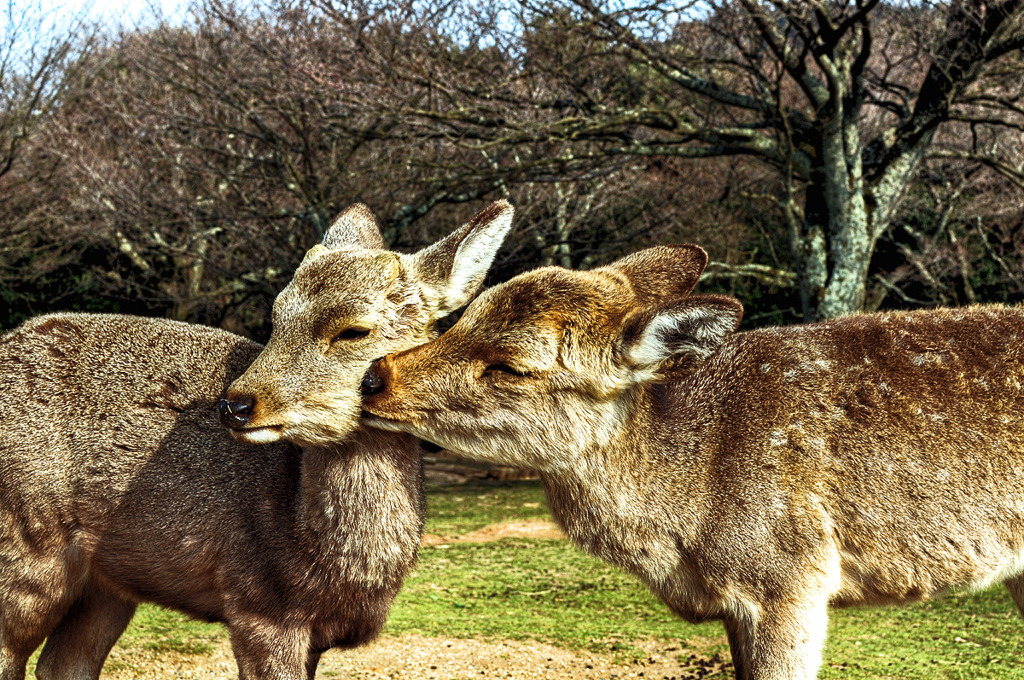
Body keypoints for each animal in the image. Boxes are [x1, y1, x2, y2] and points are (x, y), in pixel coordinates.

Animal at [0, 199, 512, 680]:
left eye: (354, 330)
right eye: (276, 318)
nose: (236, 404)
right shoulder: (257, 605)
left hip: (108, 584)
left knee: (63, 662)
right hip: (24, 550)